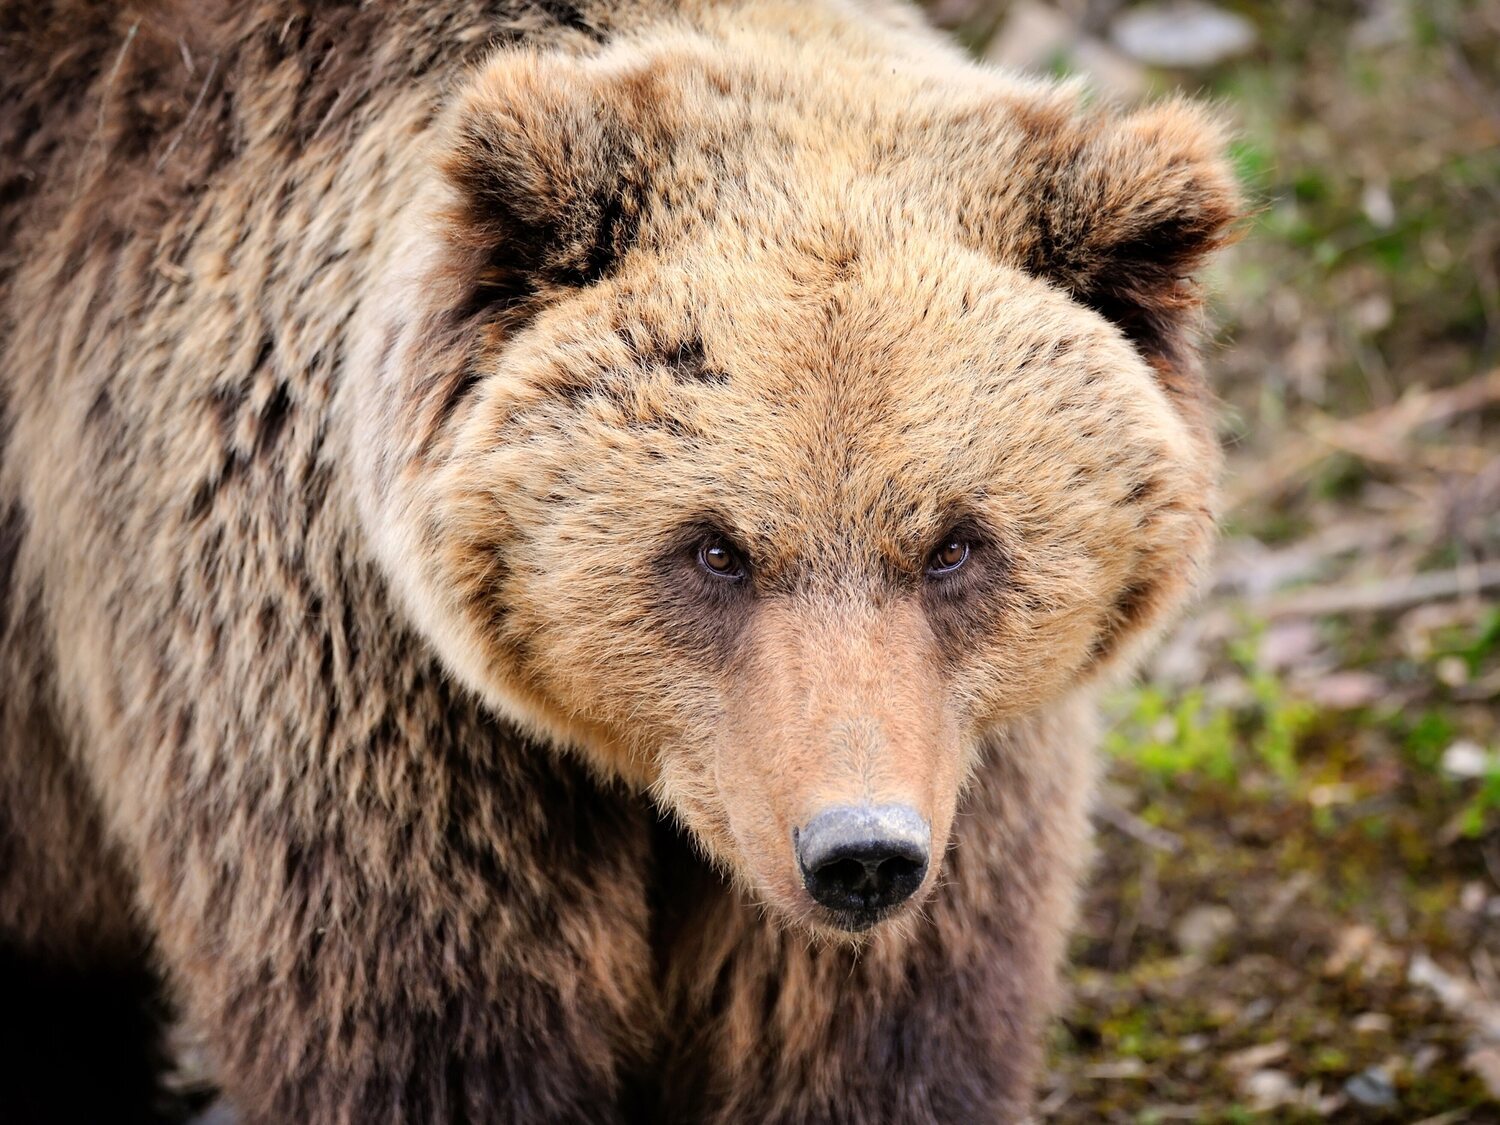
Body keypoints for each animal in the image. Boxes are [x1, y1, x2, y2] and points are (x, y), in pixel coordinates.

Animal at [0, 0, 1236, 1122]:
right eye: (715, 548)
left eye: (955, 545)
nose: (860, 850)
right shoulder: (351, 690)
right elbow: (428, 1029)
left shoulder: (962, 759)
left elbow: (863, 1038)